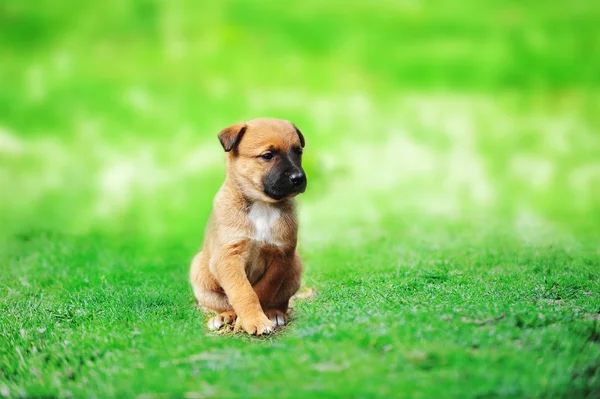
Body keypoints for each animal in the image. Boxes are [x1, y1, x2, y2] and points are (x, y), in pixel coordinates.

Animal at [190, 117, 308, 336]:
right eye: (268, 156)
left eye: (298, 152)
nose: (298, 178)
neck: (262, 206)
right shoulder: (228, 257)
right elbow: (243, 291)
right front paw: (253, 321)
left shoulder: (281, 255)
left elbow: (262, 291)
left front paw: (254, 320)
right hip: (199, 271)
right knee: (225, 304)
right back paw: (224, 317)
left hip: (295, 266)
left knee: (281, 300)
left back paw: (274, 313)